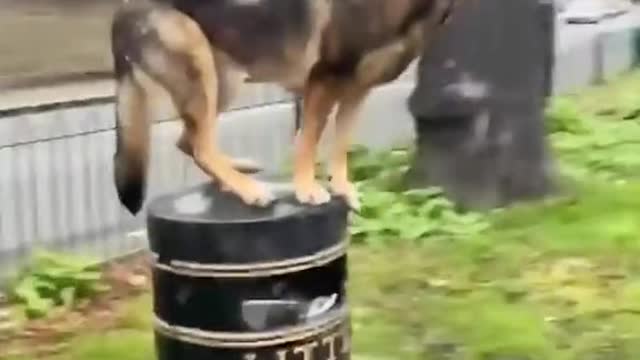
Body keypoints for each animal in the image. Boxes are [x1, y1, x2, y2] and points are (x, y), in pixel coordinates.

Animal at [112, 0, 458, 214]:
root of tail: (122, 9)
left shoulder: (356, 91)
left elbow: (340, 145)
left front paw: (342, 188)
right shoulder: (322, 80)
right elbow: (308, 142)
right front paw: (307, 189)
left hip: (222, 79)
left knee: (191, 140)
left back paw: (233, 177)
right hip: (200, 65)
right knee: (201, 145)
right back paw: (247, 188)